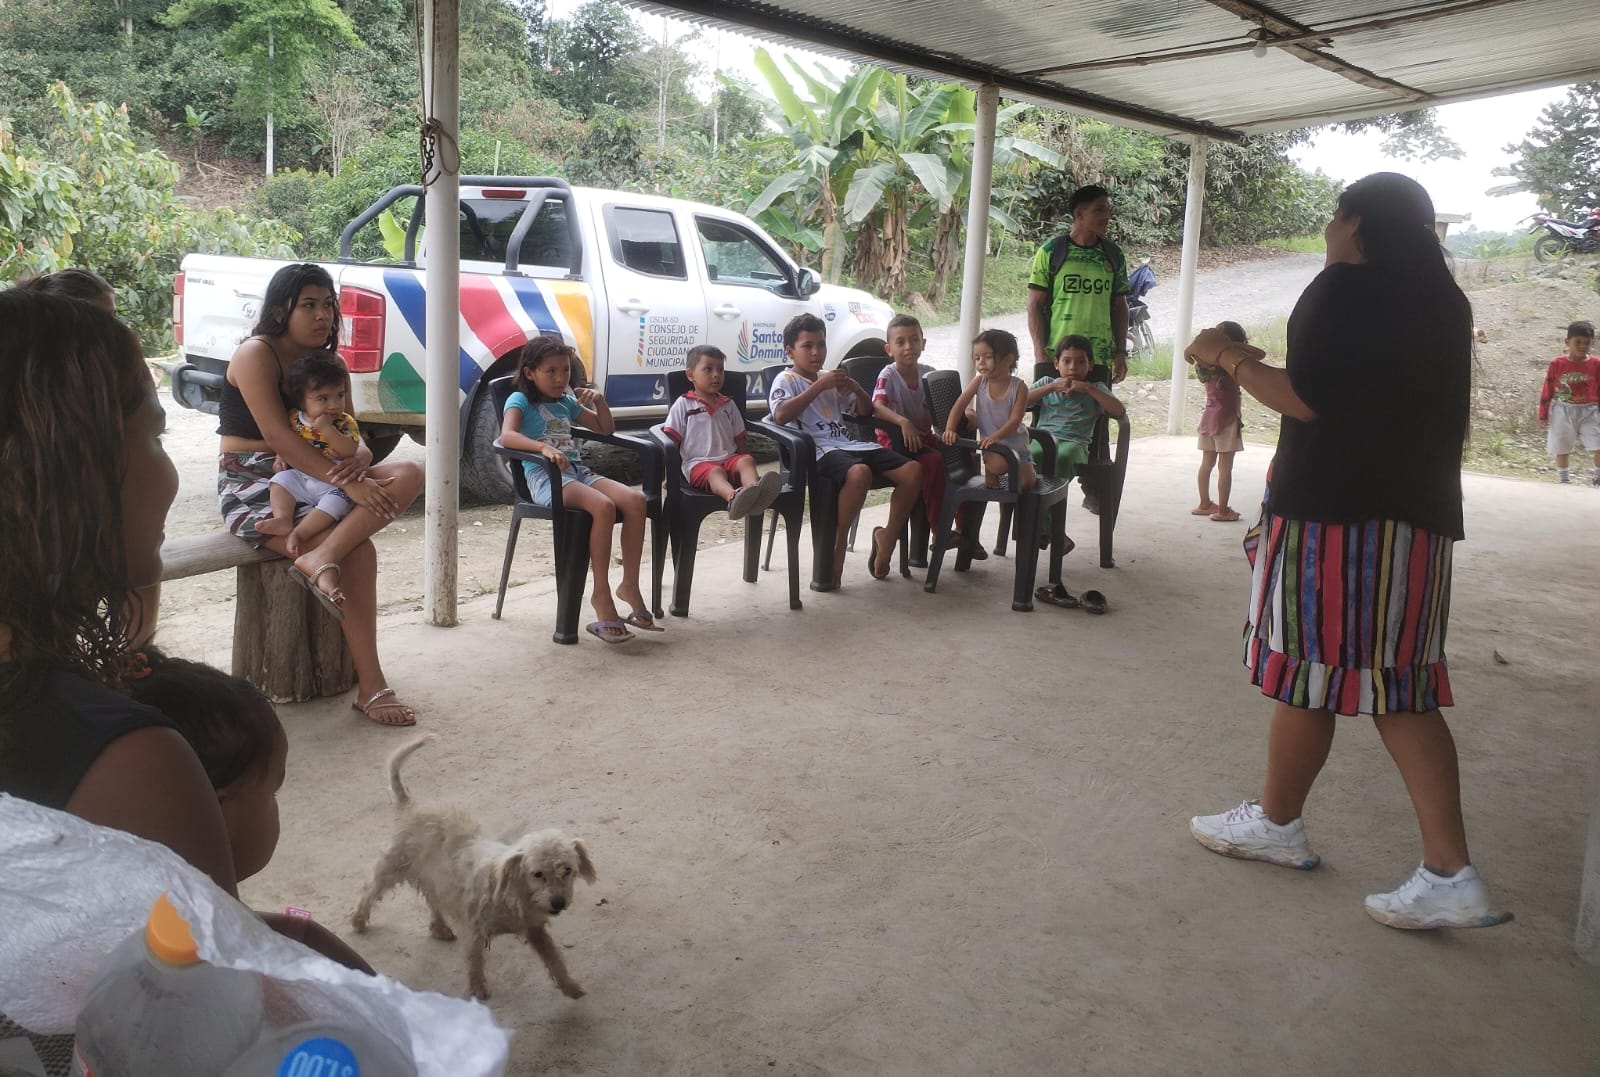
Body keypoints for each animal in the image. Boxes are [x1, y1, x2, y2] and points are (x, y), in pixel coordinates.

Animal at [350, 735, 597, 1000]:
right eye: (537, 874)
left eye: (567, 870)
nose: (558, 903)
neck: (510, 893)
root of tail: (411, 806)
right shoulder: (474, 930)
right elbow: (474, 961)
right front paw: (478, 989)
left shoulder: (534, 929)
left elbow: (554, 959)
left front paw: (570, 986)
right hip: (392, 867)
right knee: (370, 890)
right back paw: (359, 919)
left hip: (434, 877)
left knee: (432, 899)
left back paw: (439, 927)